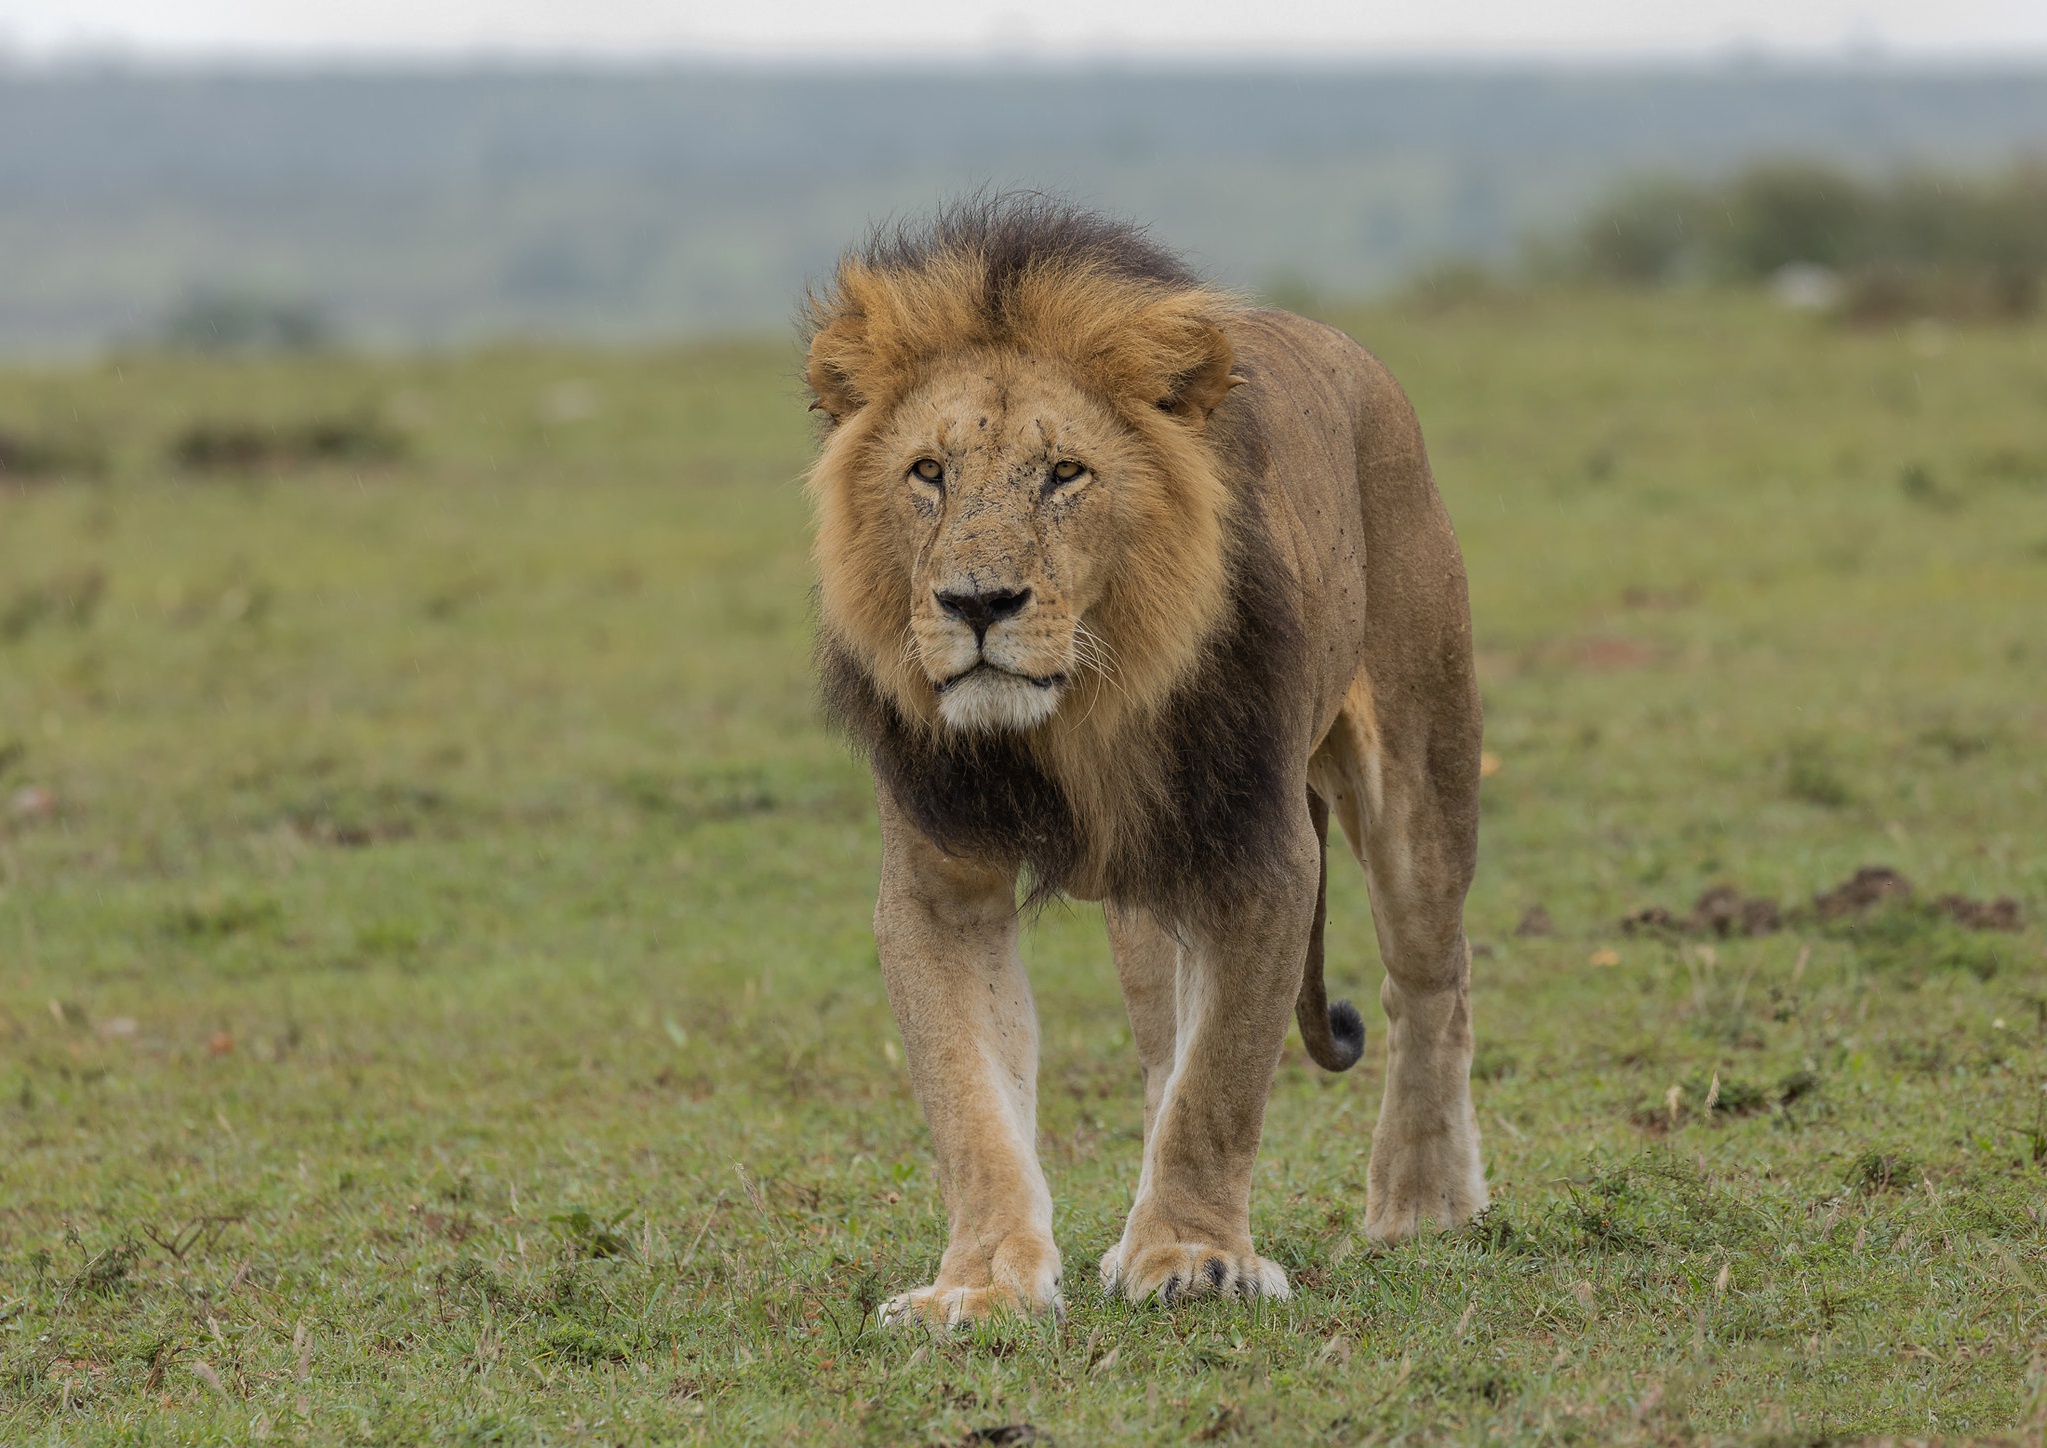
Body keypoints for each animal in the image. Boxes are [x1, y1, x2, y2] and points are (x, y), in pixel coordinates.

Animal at [798, 198, 1490, 1327]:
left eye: (1064, 474)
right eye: (928, 474)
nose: (977, 604)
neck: (1073, 713)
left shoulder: (1262, 858)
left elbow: (1221, 1082)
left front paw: (1193, 1257)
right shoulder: (939, 882)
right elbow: (971, 1098)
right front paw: (977, 1283)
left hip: (1421, 771)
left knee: (1428, 982)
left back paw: (1423, 1205)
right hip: (1153, 889)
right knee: (1167, 1035)